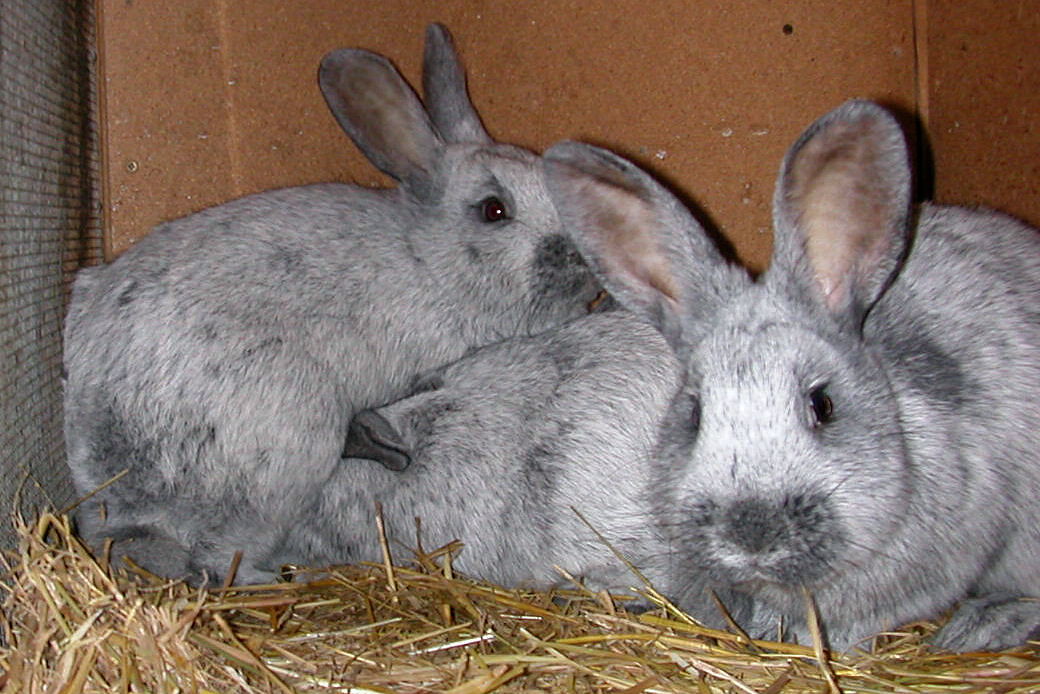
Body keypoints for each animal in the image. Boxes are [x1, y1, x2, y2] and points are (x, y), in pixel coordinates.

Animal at [61, 23, 604, 586]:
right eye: (494, 210)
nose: (583, 254)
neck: (428, 260)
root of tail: (116, 493)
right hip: (288, 449)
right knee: (215, 558)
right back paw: (283, 578)